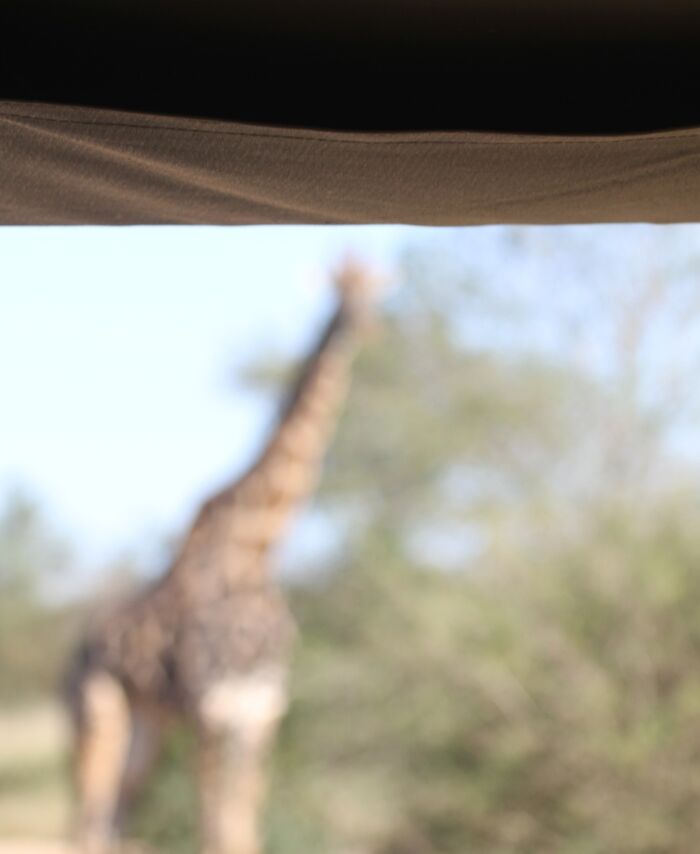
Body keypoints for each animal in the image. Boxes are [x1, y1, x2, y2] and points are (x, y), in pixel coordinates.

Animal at [63, 261, 378, 854]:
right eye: (339, 288)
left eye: (375, 290)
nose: (357, 324)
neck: (253, 556)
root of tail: (77, 646)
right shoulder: (211, 712)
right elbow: (218, 829)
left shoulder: (260, 713)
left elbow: (243, 826)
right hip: (96, 715)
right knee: (86, 819)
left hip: (149, 726)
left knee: (113, 815)